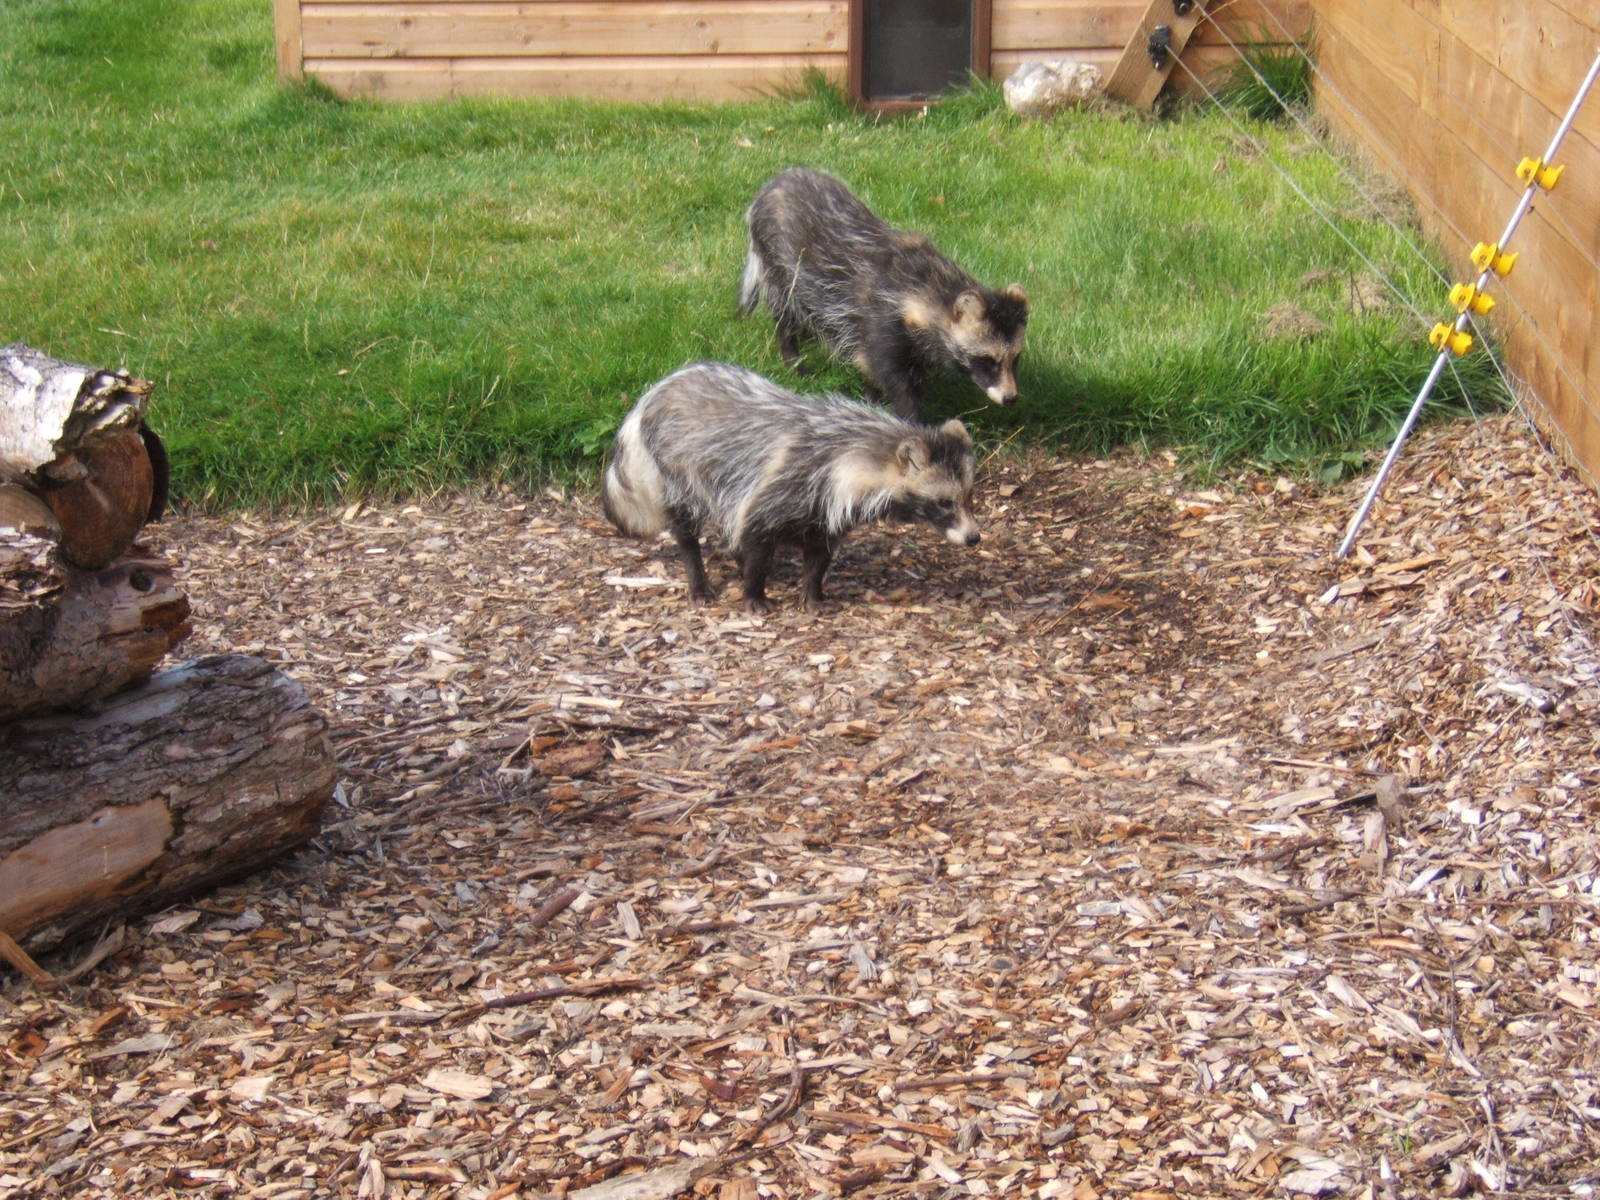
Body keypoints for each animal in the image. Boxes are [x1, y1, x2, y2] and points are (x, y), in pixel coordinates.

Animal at [602, 361, 981, 612]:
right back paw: (698, 576)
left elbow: (818, 555)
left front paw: (813, 594)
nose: (974, 537)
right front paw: (754, 592)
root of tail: (651, 396)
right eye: (944, 502)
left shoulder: (826, 510)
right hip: (676, 467)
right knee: (686, 525)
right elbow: (756, 539)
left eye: (968, 496)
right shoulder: (784, 484)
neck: (849, 452)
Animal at [738, 167, 1028, 423]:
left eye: (1015, 358)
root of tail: (775, 183)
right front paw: (911, 416)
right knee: (785, 310)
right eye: (988, 359)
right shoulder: (880, 318)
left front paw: (873, 397)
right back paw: (792, 356)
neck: (932, 286)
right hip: (777, 263)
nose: (1011, 398)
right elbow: (889, 373)